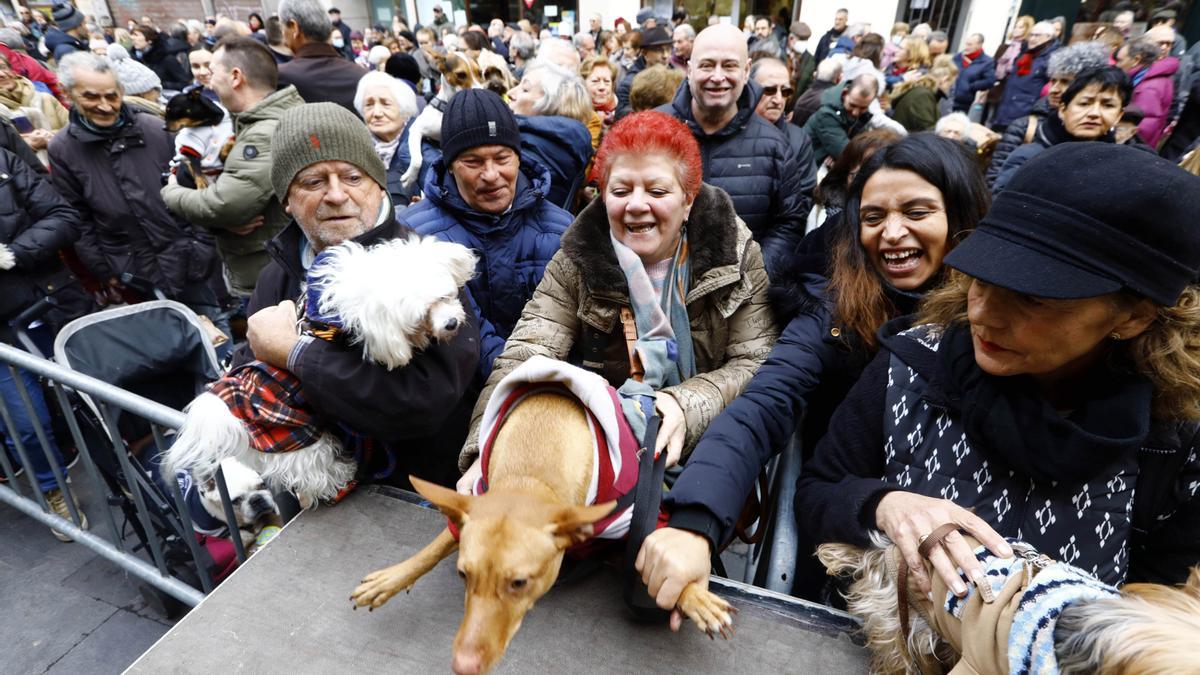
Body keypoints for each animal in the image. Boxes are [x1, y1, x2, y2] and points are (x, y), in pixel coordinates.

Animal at [163, 235, 477, 504]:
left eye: (443, 298)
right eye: (421, 317)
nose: (451, 324)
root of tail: (223, 412)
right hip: (295, 438)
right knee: (313, 469)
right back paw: (340, 477)